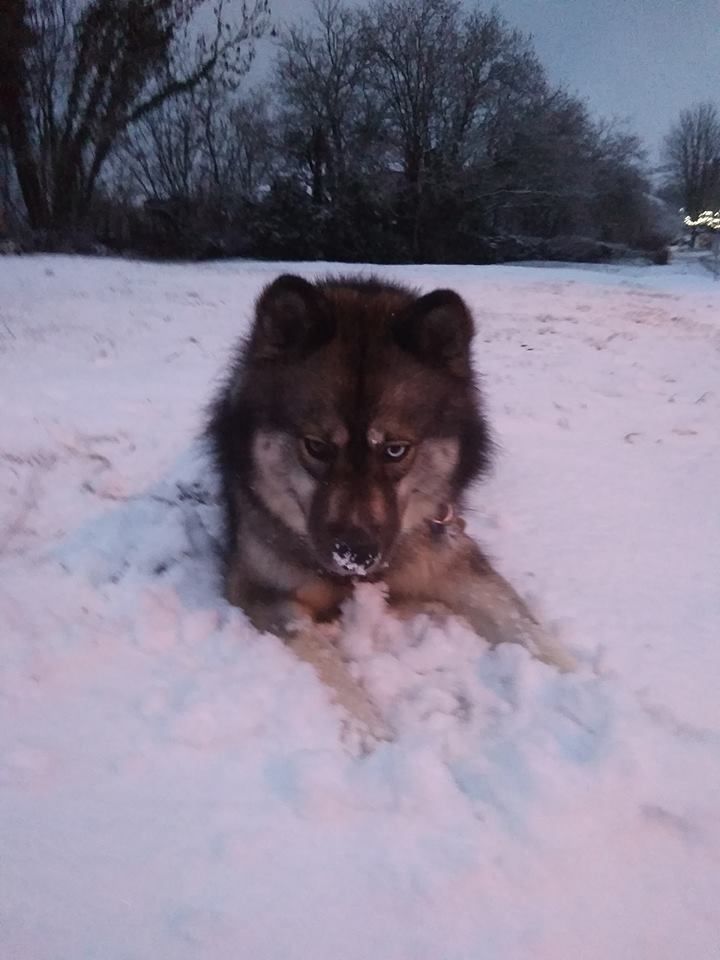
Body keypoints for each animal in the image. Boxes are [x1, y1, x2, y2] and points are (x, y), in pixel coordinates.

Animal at [207, 274, 574, 738]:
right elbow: (322, 657)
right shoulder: (261, 592)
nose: (355, 552)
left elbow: (527, 628)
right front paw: (374, 733)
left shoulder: (453, 559)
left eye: (396, 449)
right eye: (317, 446)